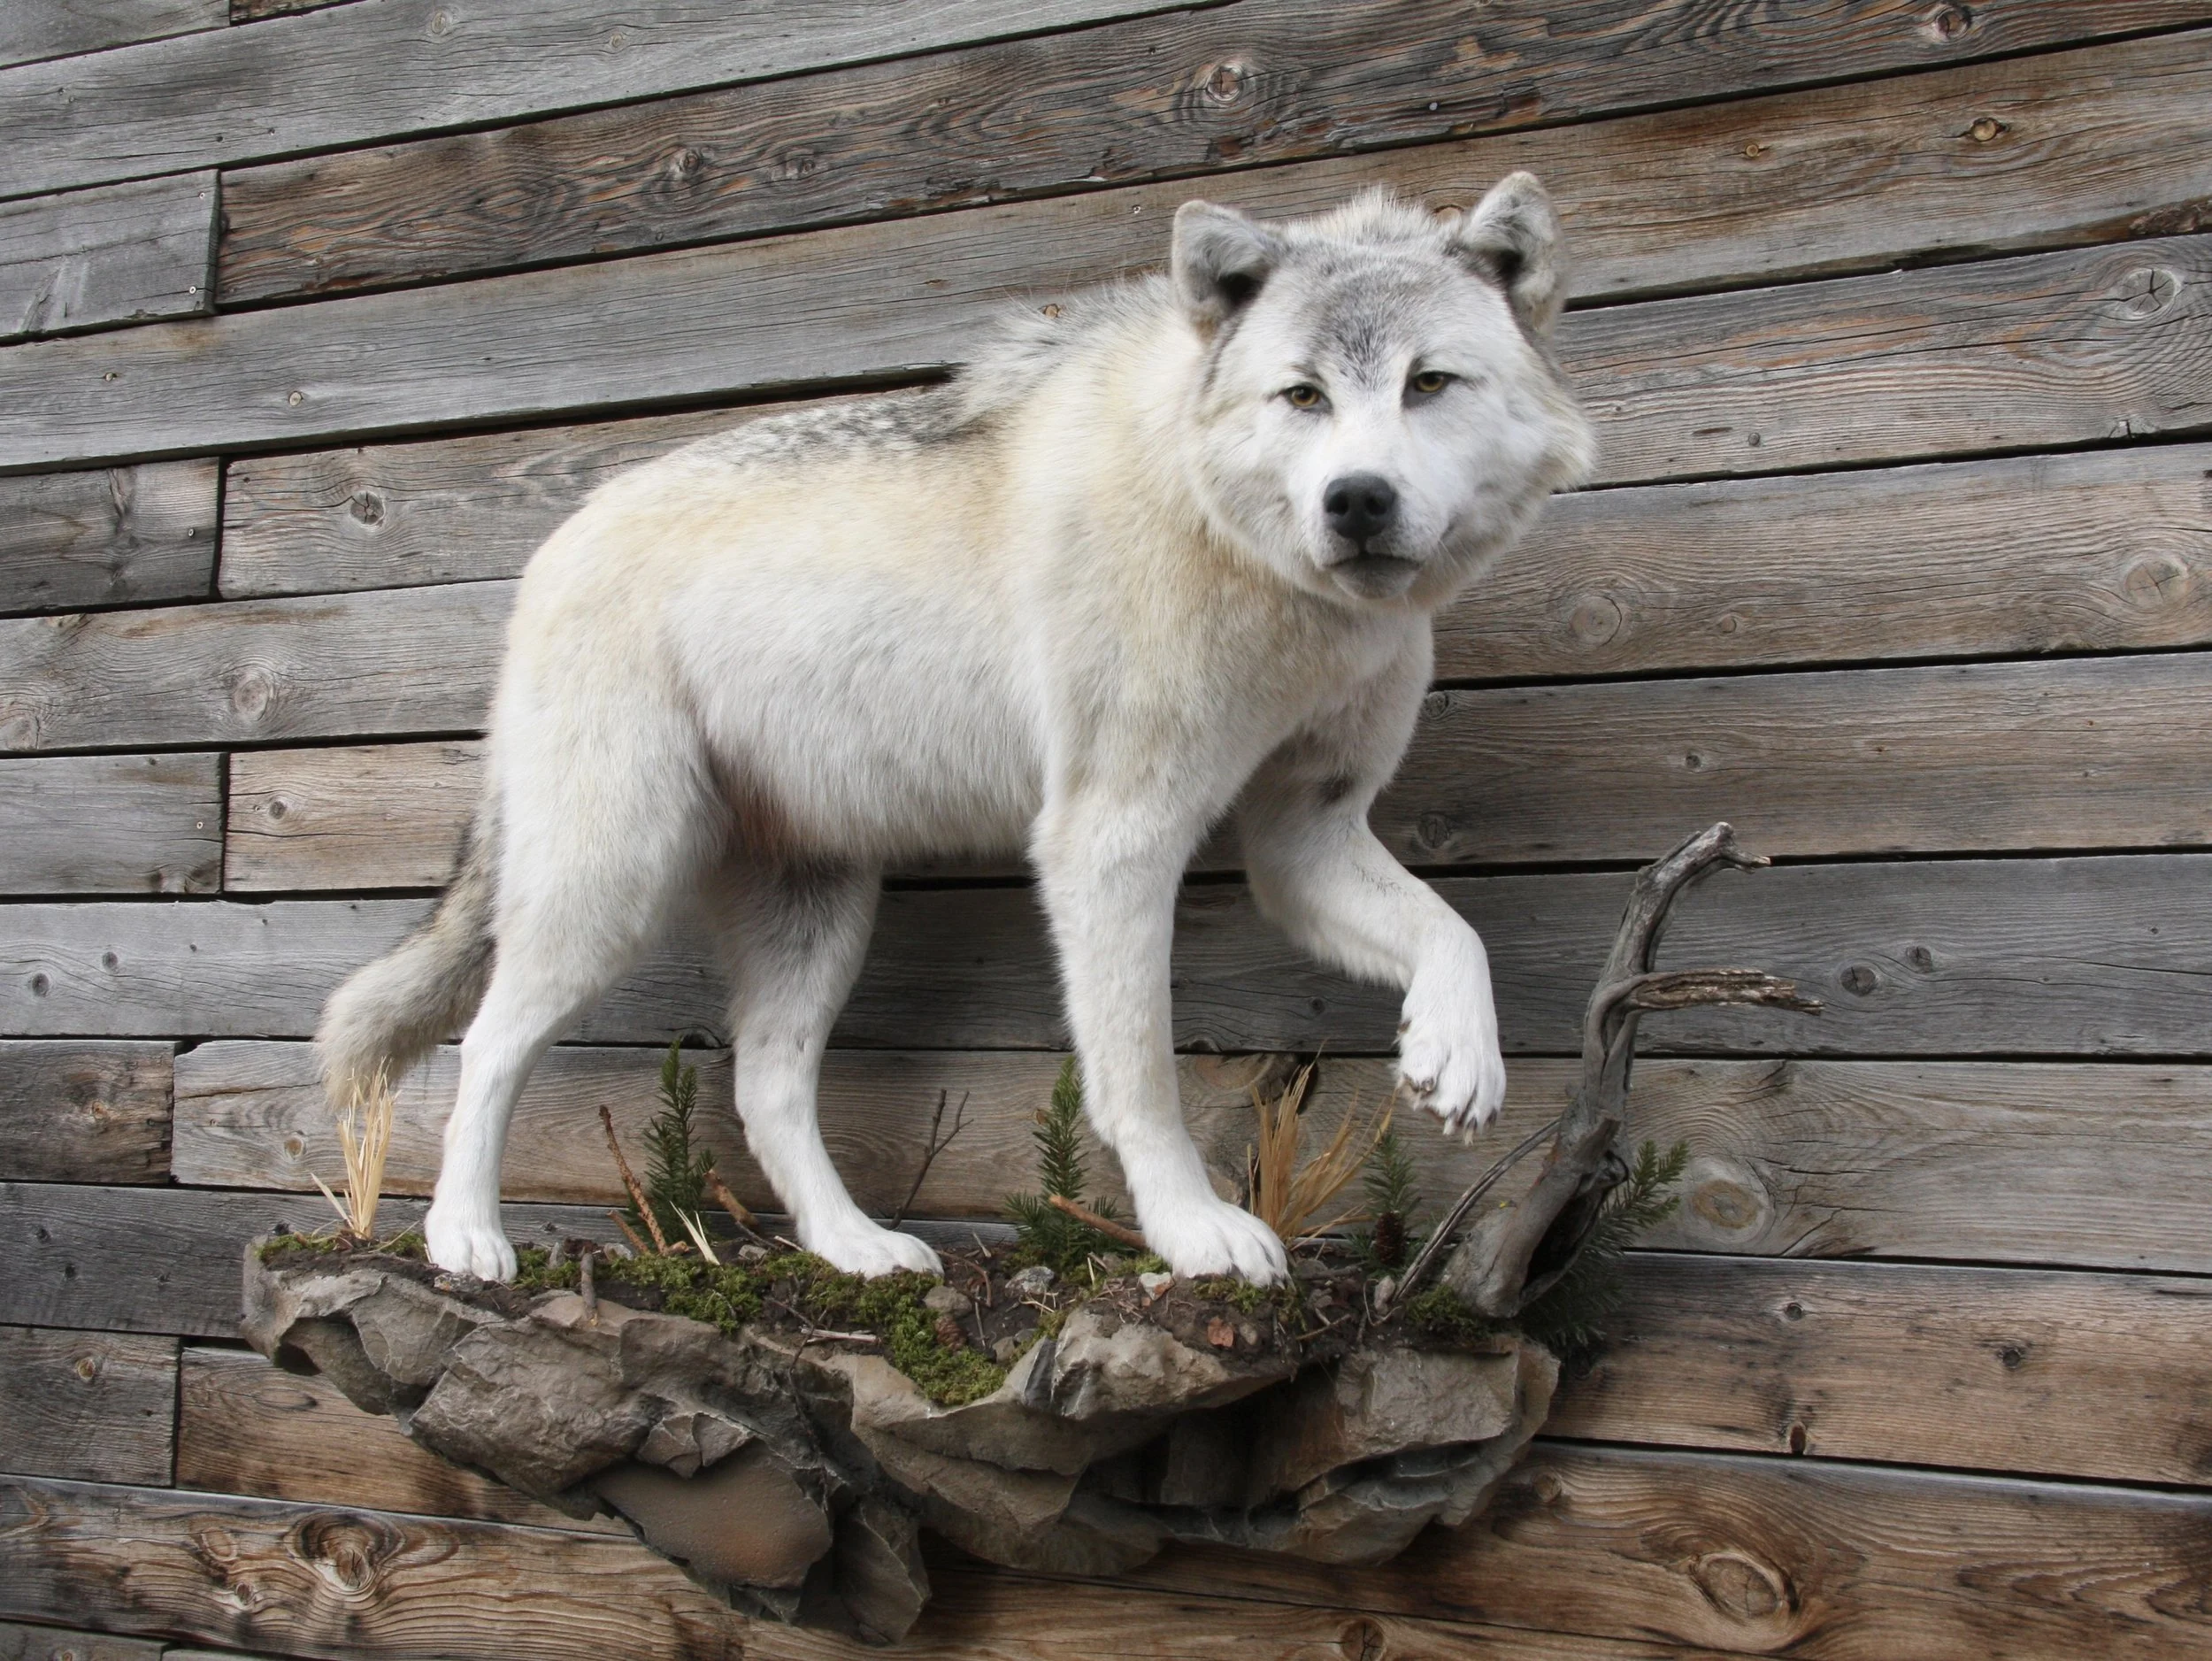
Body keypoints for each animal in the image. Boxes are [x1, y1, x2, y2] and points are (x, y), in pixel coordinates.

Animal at [317, 174, 1596, 1286]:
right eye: (1305, 397)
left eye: (1428, 384)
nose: (1357, 501)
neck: (1242, 551)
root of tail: (555, 543)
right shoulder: (1112, 842)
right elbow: (1141, 1079)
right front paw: (1194, 1236)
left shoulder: (1308, 838)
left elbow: (1456, 934)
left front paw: (1456, 1056)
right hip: (611, 888)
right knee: (486, 1044)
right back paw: (465, 1240)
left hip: (816, 912)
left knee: (763, 1090)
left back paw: (857, 1250)